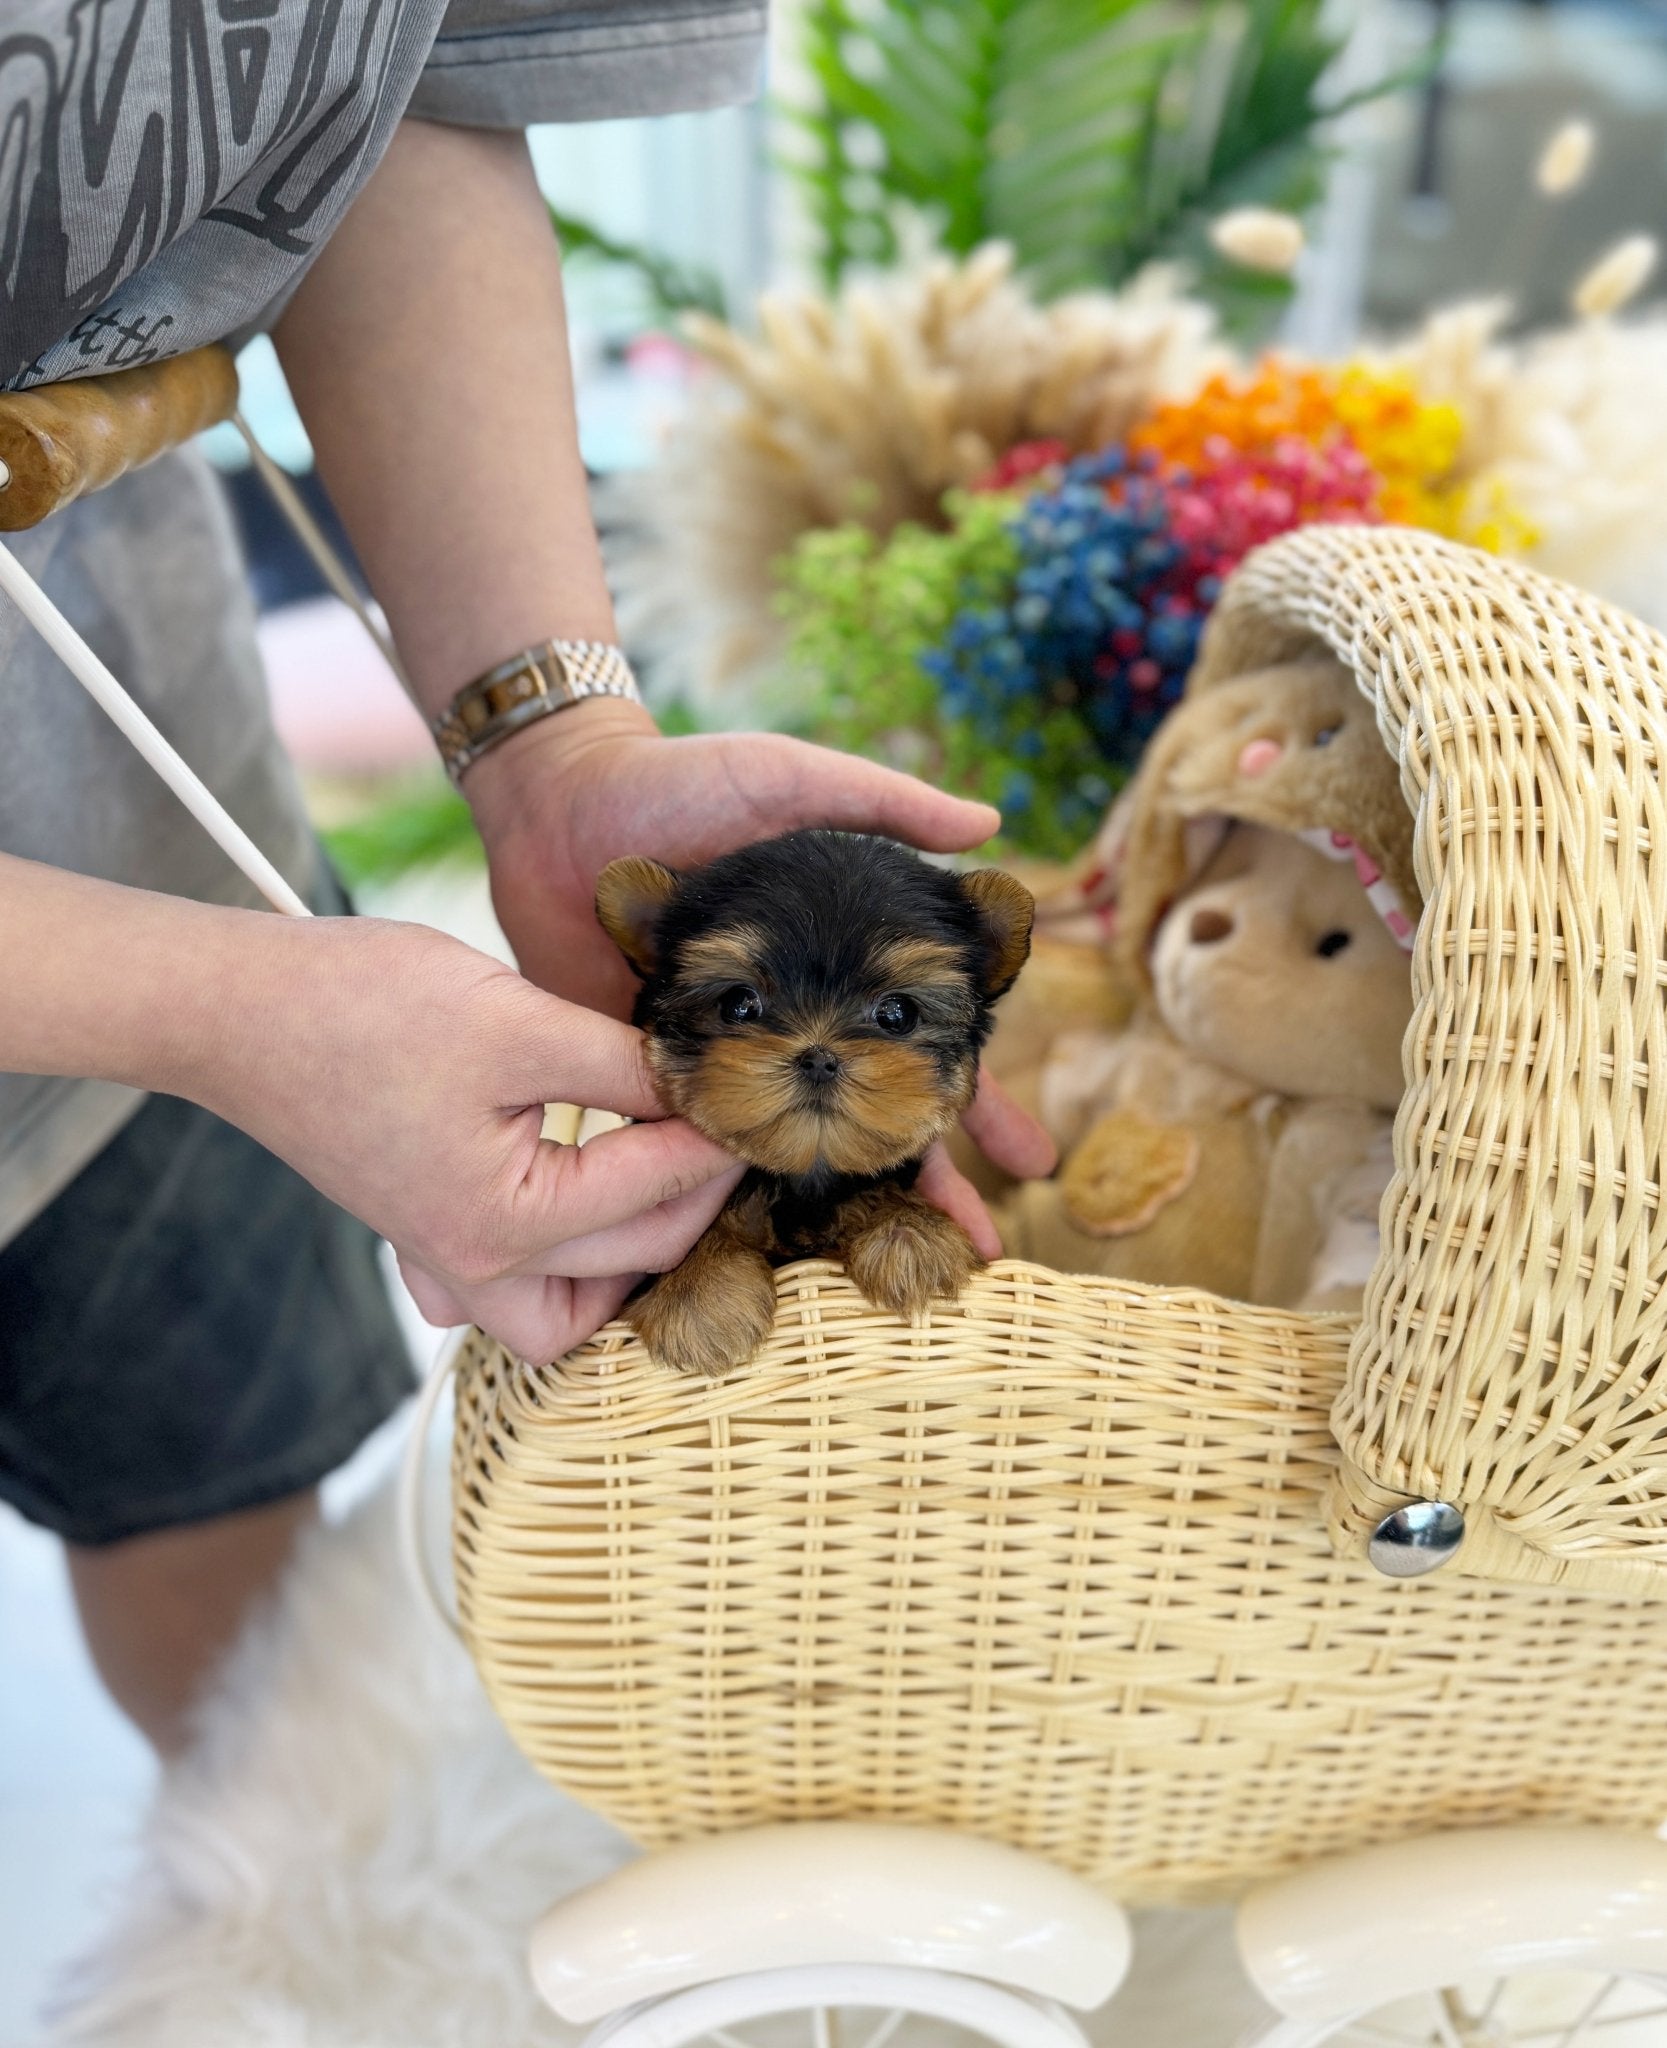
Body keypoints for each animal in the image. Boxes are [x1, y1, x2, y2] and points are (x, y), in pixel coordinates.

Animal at [593, 831, 1036, 1376]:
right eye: (738, 1004)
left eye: (897, 1014)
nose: (819, 1058)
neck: (805, 1176)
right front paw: (698, 1292)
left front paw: (910, 1231)